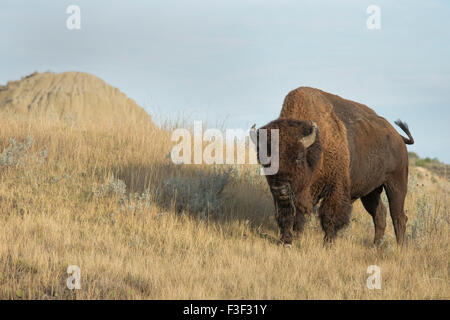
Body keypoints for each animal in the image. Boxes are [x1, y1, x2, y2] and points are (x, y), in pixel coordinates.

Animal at [251, 86, 414, 246]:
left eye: (298, 158)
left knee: (398, 216)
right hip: (370, 191)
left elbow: (329, 216)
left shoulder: (335, 187)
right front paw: (288, 241)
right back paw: (375, 246)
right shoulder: (289, 196)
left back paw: (399, 247)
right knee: (380, 214)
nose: (280, 189)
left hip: (396, 184)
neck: (316, 147)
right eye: (266, 161)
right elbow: (290, 216)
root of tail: (398, 137)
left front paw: (328, 244)